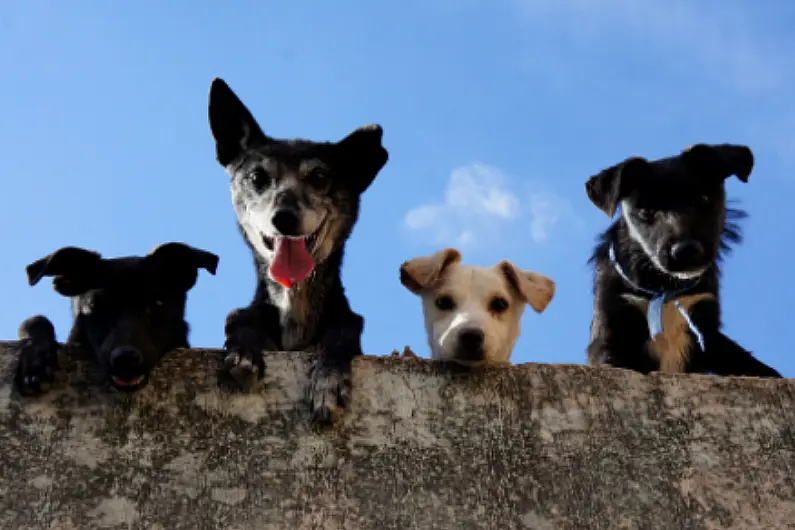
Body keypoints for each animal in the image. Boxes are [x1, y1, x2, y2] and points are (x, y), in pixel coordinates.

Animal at [584, 142, 784, 378]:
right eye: (646, 211)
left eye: (703, 199)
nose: (686, 250)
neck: (666, 289)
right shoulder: (612, 323)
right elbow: (609, 360)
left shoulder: (707, 330)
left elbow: (745, 361)